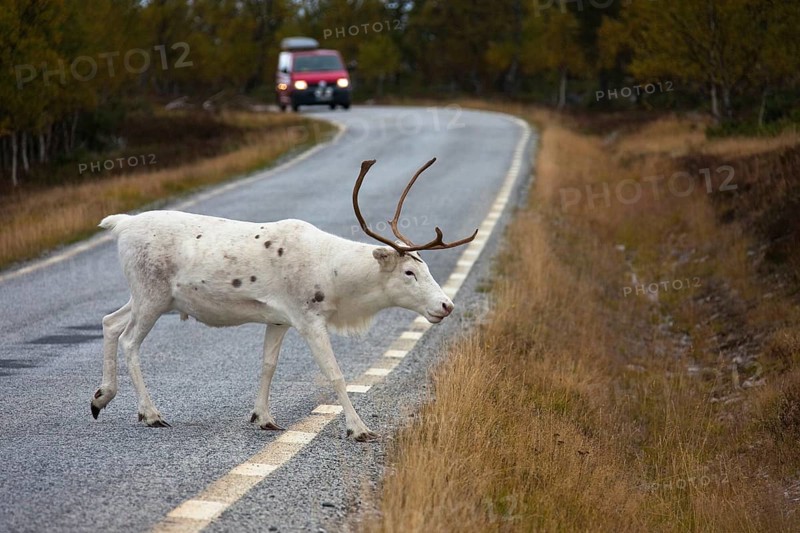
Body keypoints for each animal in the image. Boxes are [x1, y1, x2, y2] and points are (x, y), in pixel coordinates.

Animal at [90, 158, 477, 441]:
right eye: (409, 272)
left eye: (425, 267)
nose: (446, 305)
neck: (337, 279)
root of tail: (121, 225)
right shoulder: (308, 318)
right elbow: (335, 374)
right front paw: (359, 429)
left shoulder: (278, 319)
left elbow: (268, 365)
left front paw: (263, 418)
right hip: (151, 294)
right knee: (129, 340)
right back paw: (150, 414)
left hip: (151, 297)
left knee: (110, 321)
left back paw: (100, 397)